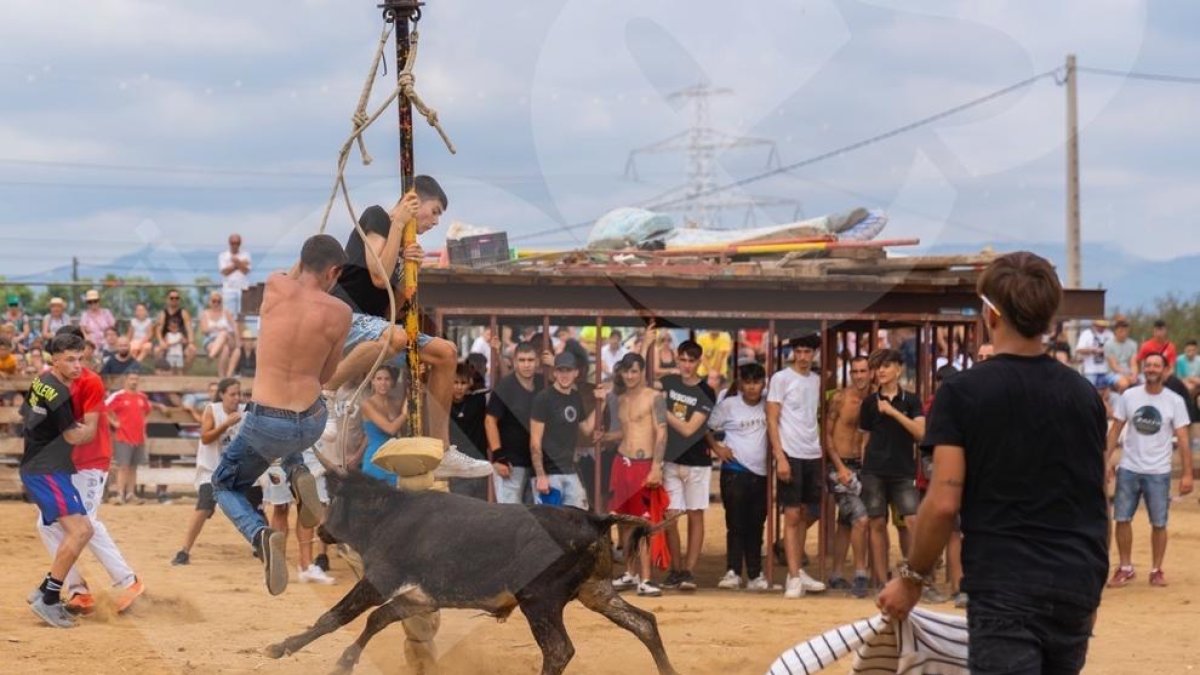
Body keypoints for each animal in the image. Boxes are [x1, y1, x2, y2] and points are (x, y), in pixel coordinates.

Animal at [266, 468, 676, 672]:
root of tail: (595, 518)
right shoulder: (421, 597)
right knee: (643, 623)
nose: (322, 530)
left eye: (334, 500)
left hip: (540, 600)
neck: (390, 513)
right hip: (597, 591)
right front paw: (343, 662)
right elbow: (378, 619)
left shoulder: (378, 580)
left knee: (559, 650)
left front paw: (281, 647)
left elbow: (337, 616)